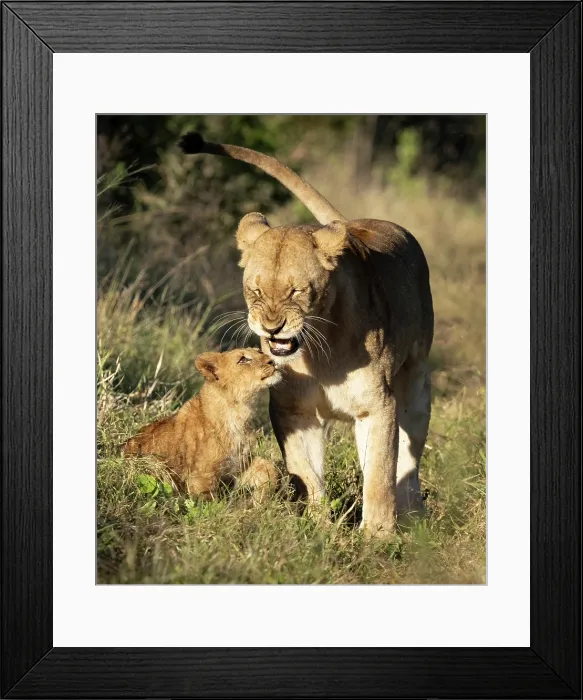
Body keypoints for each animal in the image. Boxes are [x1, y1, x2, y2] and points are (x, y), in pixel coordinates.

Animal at [123, 348, 280, 500]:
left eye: (259, 351)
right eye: (243, 359)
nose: (272, 361)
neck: (239, 412)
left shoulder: (238, 465)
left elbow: (269, 469)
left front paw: (260, 500)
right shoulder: (200, 476)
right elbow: (209, 502)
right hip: (153, 464)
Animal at [179, 133, 434, 536]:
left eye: (296, 291)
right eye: (255, 290)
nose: (271, 327)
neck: (320, 353)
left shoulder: (378, 407)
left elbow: (379, 475)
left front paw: (377, 536)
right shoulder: (292, 410)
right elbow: (305, 472)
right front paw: (317, 527)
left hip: (417, 384)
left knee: (409, 461)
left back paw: (413, 515)